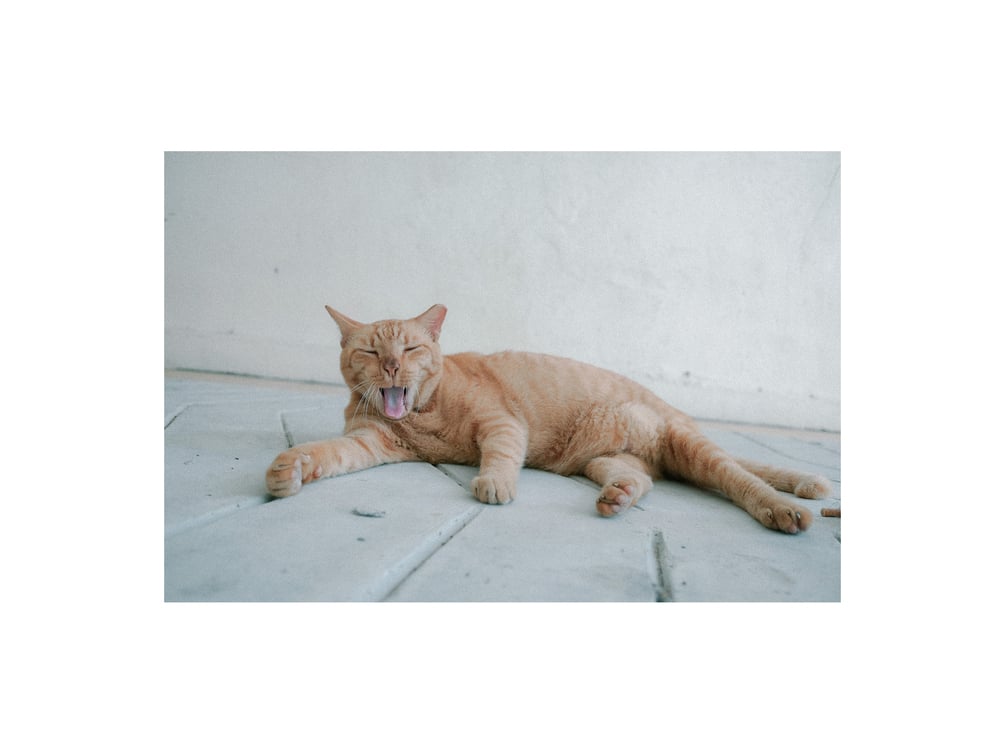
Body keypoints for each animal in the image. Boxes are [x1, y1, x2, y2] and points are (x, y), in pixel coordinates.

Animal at [266, 304, 831, 533]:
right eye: (368, 351)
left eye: (409, 348)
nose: (390, 367)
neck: (425, 414)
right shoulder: (369, 443)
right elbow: (326, 454)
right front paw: (291, 469)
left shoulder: (501, 424)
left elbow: (498, 457)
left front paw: (494, 484)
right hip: (606, 460)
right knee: (641, 478)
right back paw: (619, 497)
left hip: (689, 447)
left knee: (741, 476)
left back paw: (785, 507)